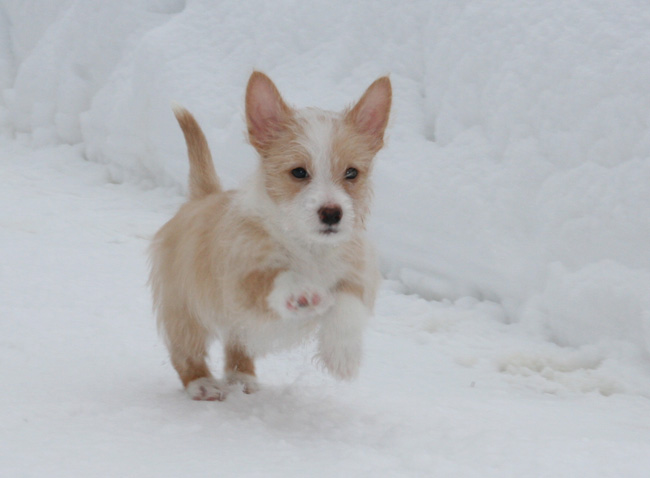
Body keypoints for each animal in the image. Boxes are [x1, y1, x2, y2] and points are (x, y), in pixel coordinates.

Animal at [149, 71, 391, 400]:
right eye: (299, 172)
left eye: (352, 173)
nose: (332, 214)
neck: (308, 246)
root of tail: (202, 196)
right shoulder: (240, 278)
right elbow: (275, 278)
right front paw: (301, 292)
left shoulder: (357, 274)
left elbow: (347, 304)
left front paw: (343, 355)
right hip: (184, 310)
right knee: (185, 350)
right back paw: (202, 383)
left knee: (237, 343)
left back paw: (242, 377)